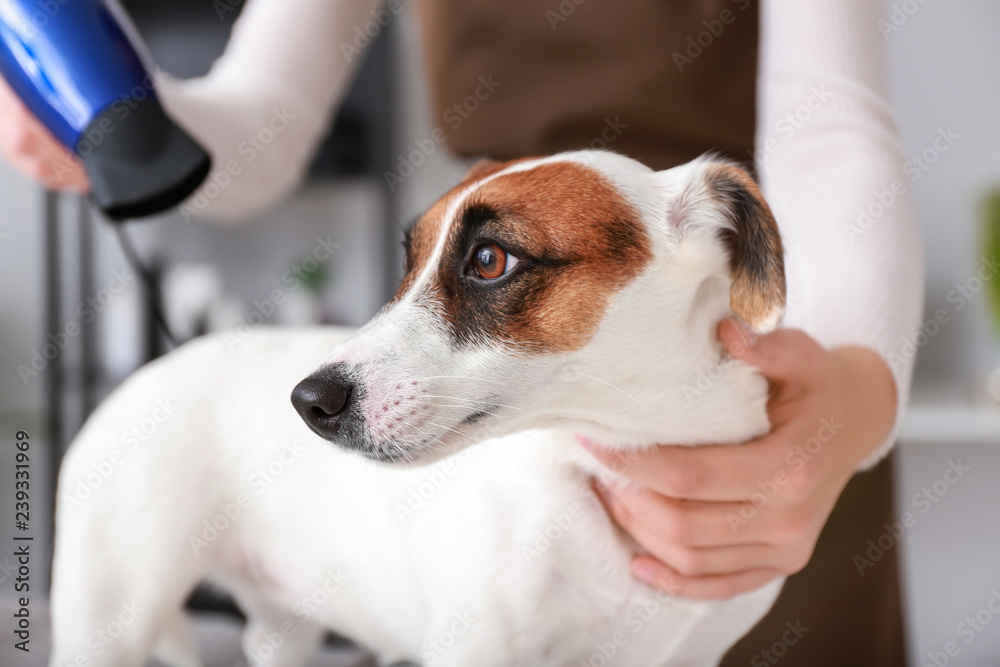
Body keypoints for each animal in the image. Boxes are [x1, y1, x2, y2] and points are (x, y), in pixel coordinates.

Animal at [50, 151, 788, 667]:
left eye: (489, 259)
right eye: (410, 259)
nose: (308, 401)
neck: (612, 459)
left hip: (284, 627)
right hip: (108, 624)